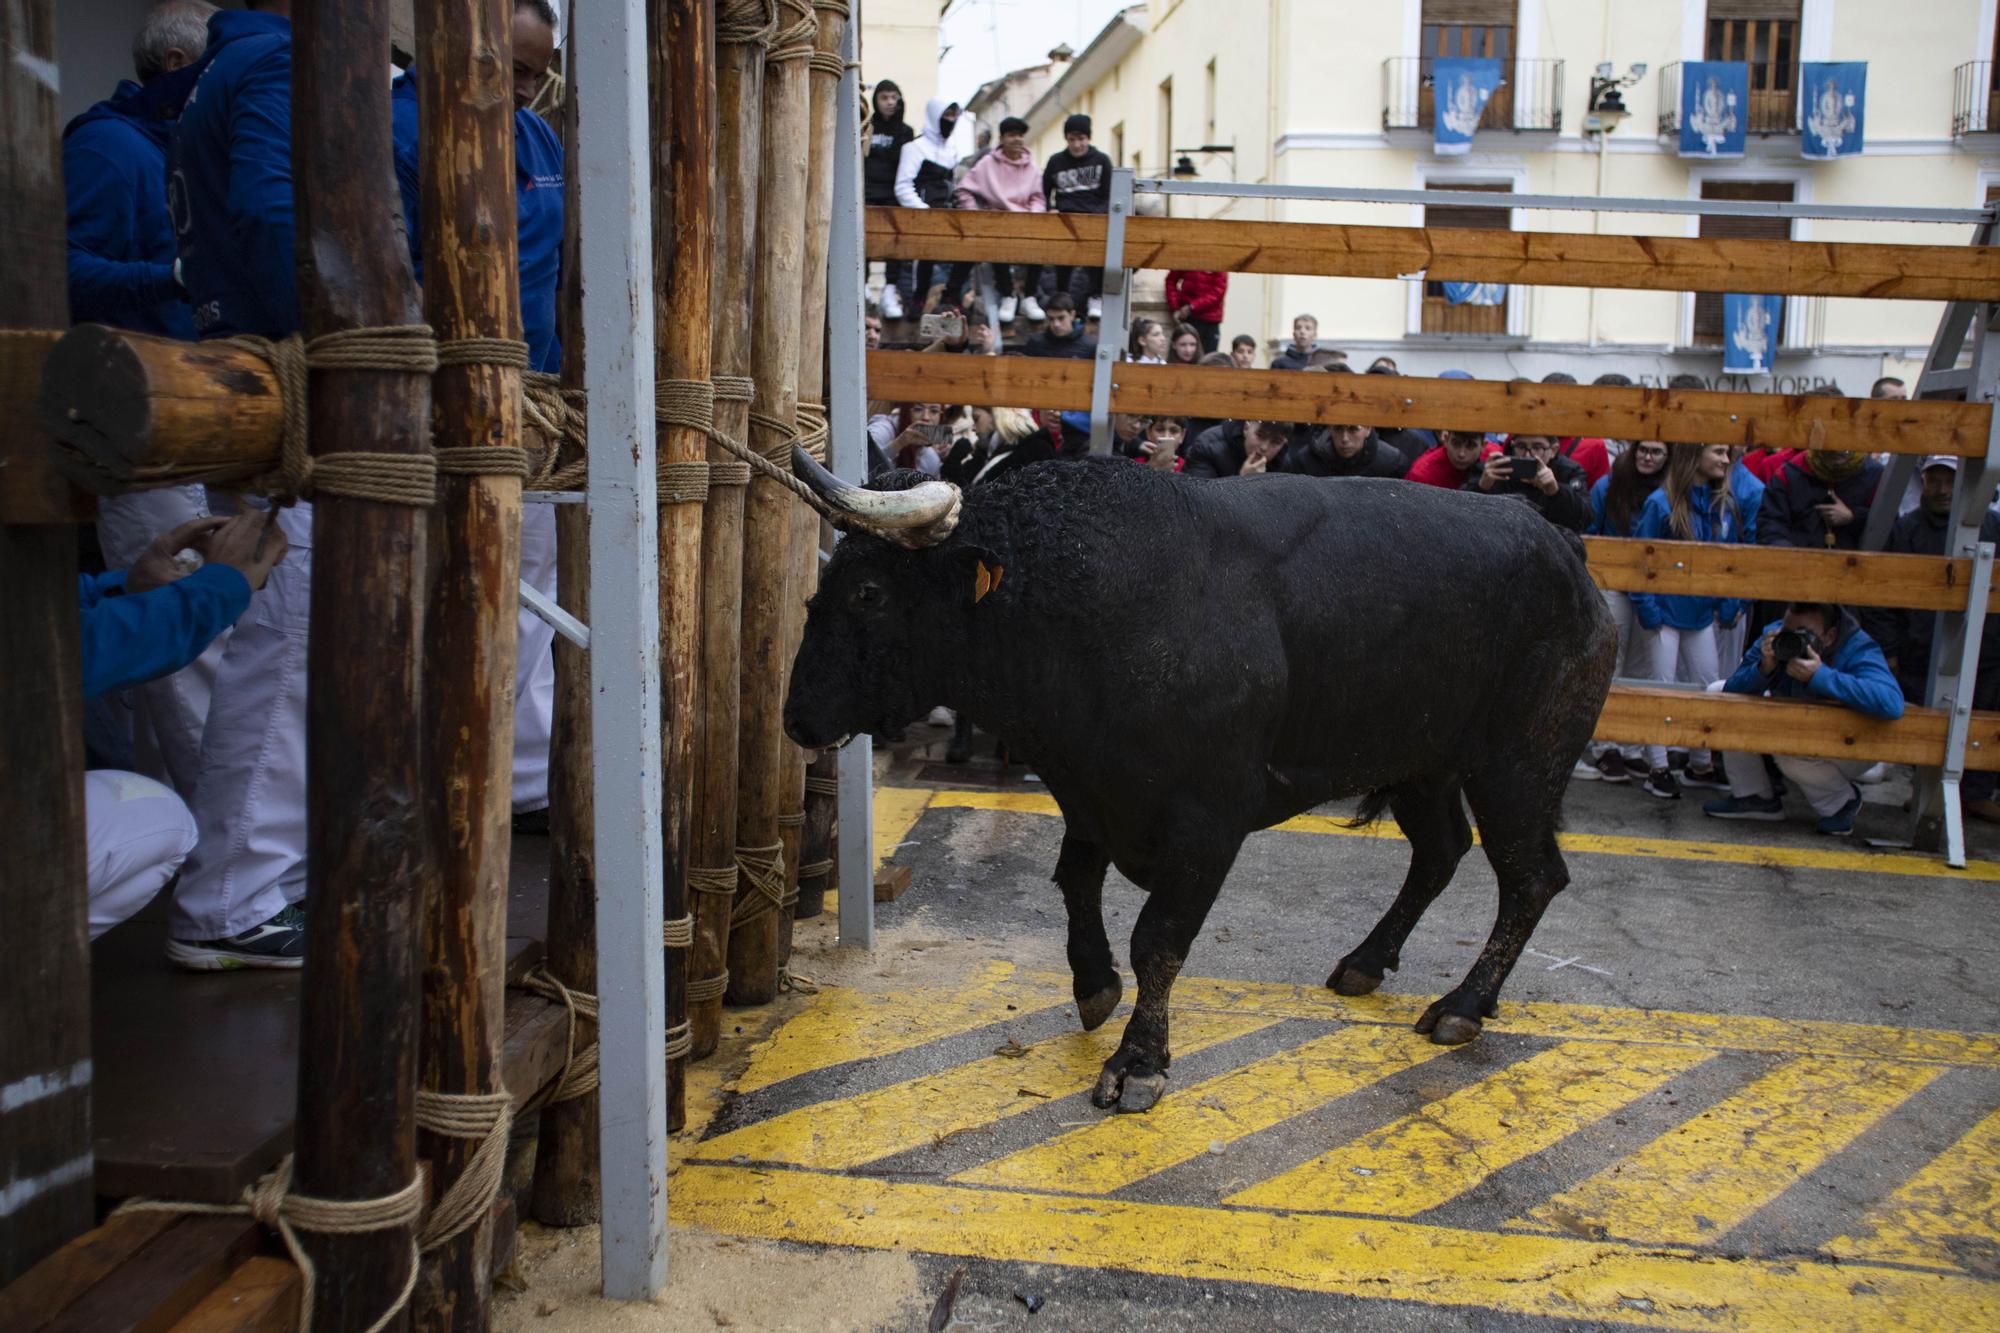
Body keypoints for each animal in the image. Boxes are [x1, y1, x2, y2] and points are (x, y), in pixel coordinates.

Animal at [780, 456, 1624, 1112]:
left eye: (868, 592)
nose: (795, 716)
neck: (1090, 598)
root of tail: (1561, 543)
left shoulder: (1209, 819)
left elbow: (1159, 938)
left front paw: (1138, 1064)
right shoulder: (1091, 794)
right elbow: (1074, 881)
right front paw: (1093, 982)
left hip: (1519, 766)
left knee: (1530, 876)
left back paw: (1462, 1006)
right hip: (1422, 761)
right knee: (1441, 852)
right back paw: (1364, 961)